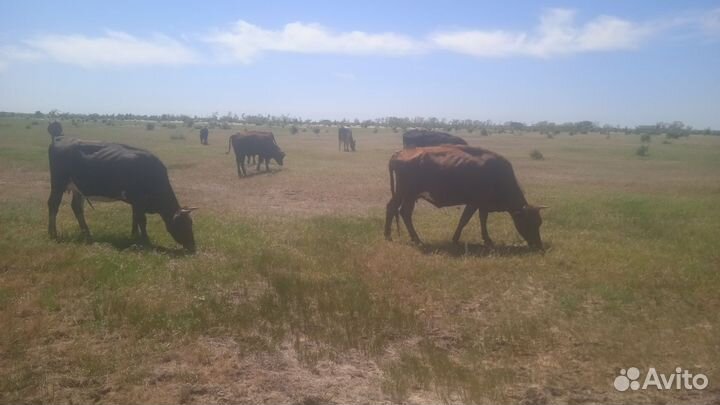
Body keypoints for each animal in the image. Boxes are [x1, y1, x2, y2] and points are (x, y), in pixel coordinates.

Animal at [47, 136, 197, 252]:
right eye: (184, 224)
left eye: (191, 223)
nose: (193, 247)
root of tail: (60, 138)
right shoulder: (138, 200)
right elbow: (142, 220)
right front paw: (146, 241)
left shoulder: (136, 203)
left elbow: (135, 218)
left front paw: (134, 236)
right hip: (58, 183)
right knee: (53, 204)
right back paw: (53, 234)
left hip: (78, 188)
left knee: (77, 207)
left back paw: (87, 234)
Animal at [385, 145, 546, 250]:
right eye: (529, 223)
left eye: (539, 223)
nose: (538, 245)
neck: (498, 176)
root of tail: (399, 153)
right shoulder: (476, 203)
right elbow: (468, 220)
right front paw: (477, 240)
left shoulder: (479, 205)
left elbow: (475, 219)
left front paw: (481, 239)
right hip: (405, 193)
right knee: (394, 209)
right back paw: (393, 237)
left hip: (409, 196)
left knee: (403, 212)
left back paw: (411, 238)